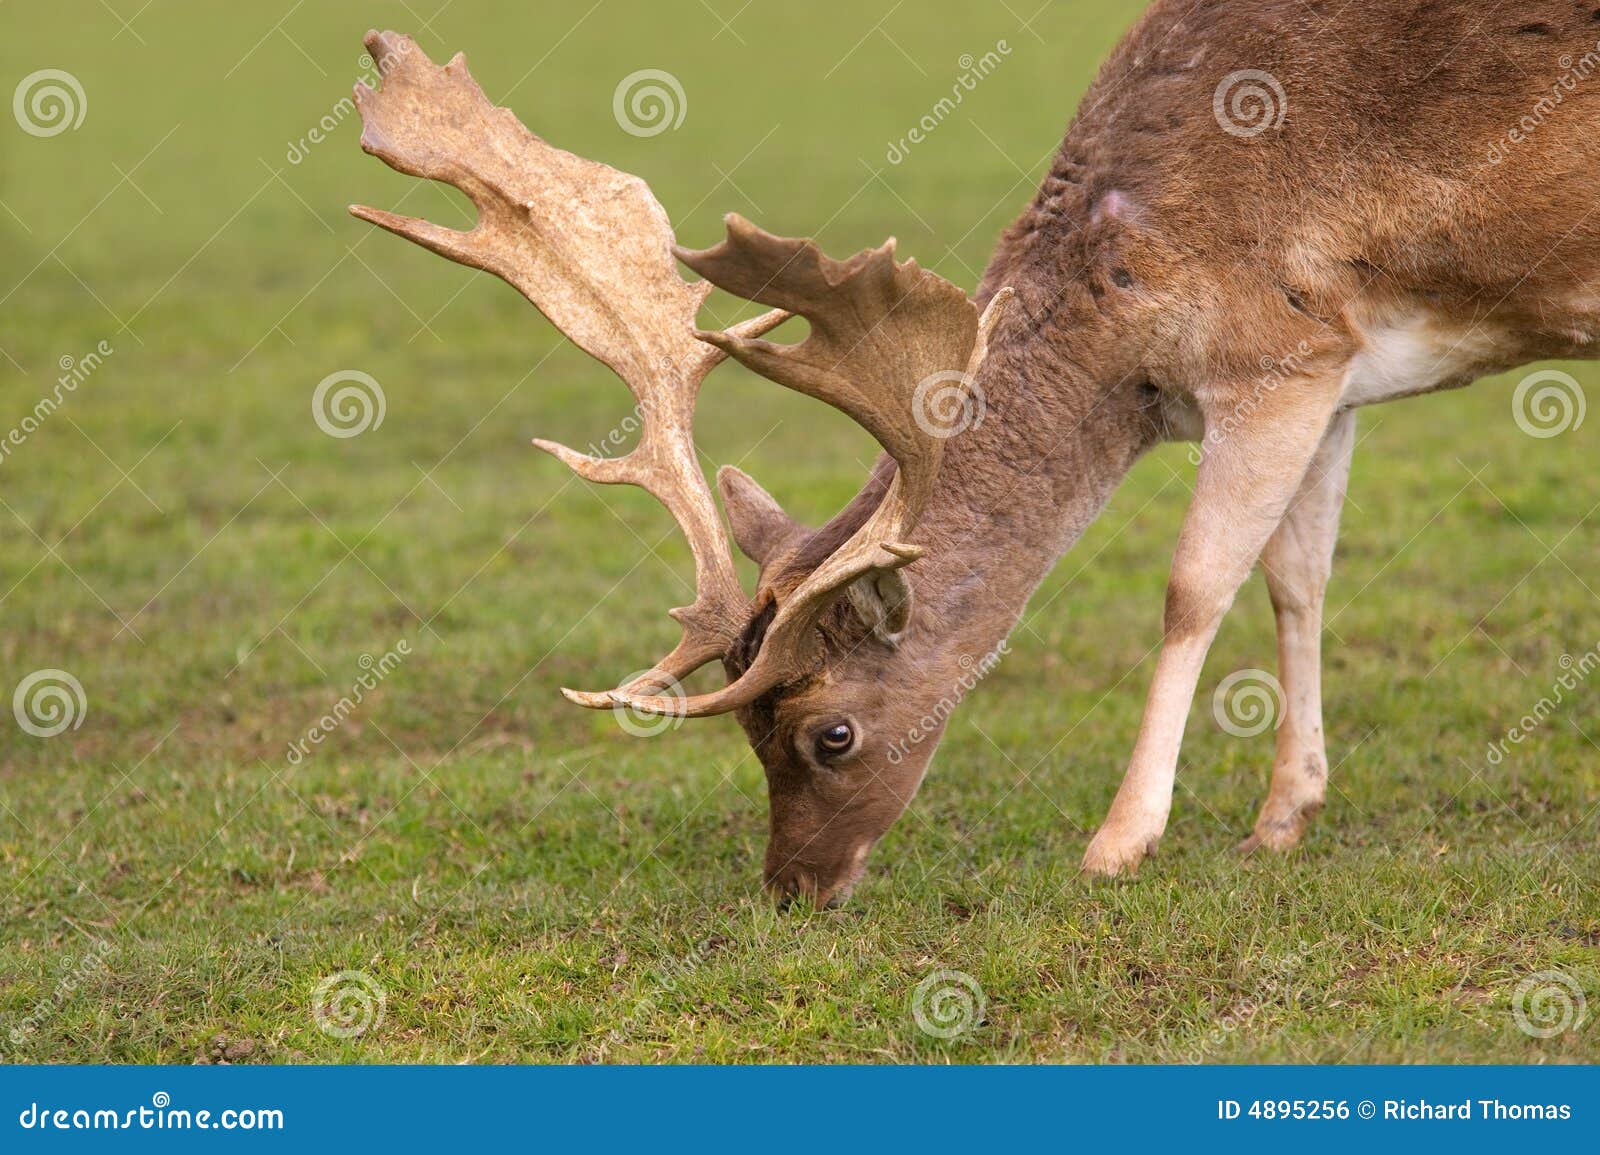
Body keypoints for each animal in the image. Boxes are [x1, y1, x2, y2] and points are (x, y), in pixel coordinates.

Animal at [351, 1, 1600, 906]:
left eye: (830, 732)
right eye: (747, 733)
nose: (791, 890)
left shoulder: (1271, 352)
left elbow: (1193, 587)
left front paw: (1119, 843)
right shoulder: (1334, 370)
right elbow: (1298, 581)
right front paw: (1283, 818)